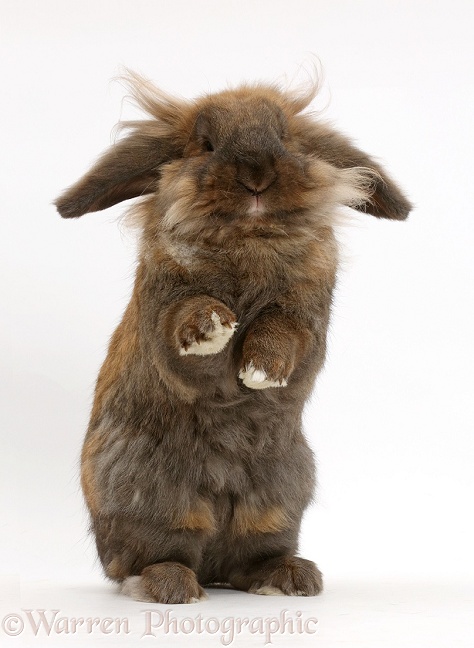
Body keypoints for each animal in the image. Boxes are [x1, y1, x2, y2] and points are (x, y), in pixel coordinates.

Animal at [54, 71, 412, 604]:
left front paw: (261, 371)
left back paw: (290, 577)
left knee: (250, 557)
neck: (249, 237)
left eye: (285, 139)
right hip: (153, 499)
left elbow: (286, 335)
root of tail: (212, 567)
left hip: (278, 502)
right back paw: (172, 586)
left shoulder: (306, 320)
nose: (256, 176)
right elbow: (186, 333)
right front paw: (215, 326)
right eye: (205, 145)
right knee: (148, 558)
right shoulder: (168, 317)